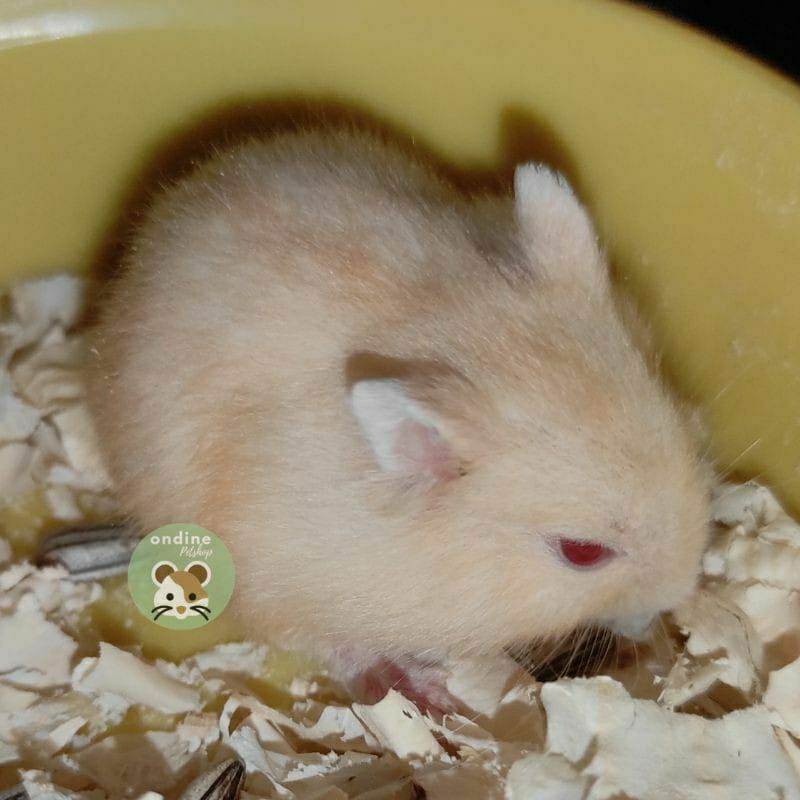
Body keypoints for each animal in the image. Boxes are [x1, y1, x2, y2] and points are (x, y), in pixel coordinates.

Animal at [87, 129, 712, 682]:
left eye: (687, 442)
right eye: (581, 553)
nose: (679, 592)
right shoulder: (278, 581)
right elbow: (332, 642)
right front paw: (425, 686)